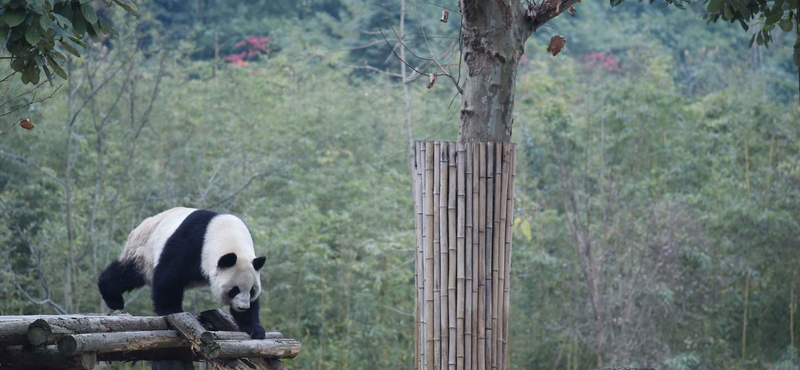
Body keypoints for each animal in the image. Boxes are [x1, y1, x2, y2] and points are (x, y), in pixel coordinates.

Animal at [98, 208, 268, 338]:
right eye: (234, 290)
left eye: (252, 290)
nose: (243, 307)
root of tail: (140, 226)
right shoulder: (192, 243)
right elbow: (168, 277)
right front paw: (171, 310)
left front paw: (254, 328)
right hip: (143, 250)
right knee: (126, 274)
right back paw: (112, 297)